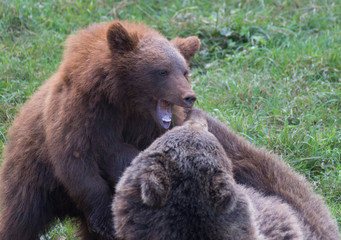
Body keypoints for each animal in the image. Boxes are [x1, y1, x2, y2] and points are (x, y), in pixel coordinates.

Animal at [0, 21, 201, 240]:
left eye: (185, 72)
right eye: (163, 71)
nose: (189, 96)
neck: (123, 99)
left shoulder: (147, 127)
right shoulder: (82, 115)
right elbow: (78, 162)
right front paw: (105, 220)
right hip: (32, 175)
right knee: (20, 217)